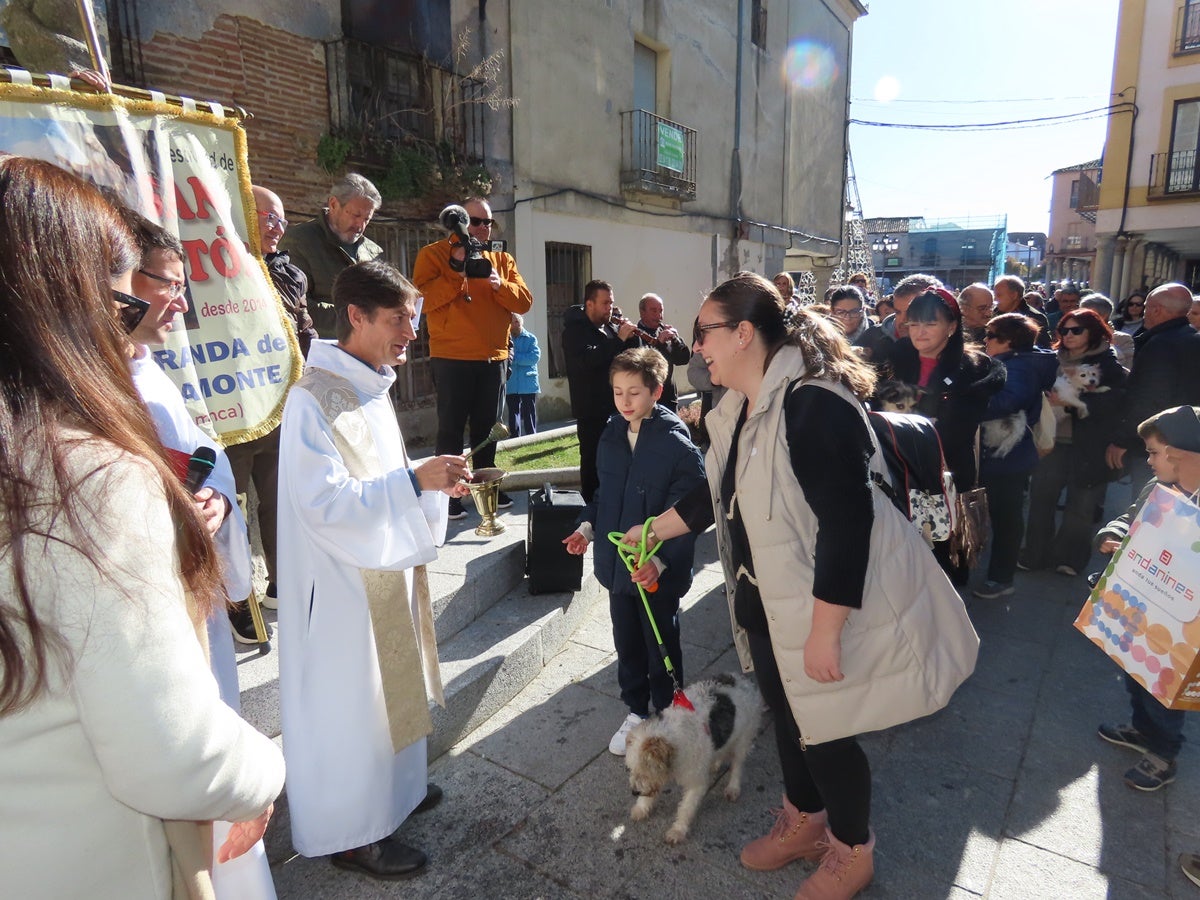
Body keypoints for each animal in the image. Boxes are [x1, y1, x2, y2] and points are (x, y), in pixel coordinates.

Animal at [619, 676, 758, 844]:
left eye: (647, 769)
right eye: (630, 768)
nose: (634, 792)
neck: (673, 737)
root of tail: (742, 680)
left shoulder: (696, 782)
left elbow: (686, 808)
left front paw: (677, 831)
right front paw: (640, 809)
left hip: (743, 740)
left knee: (737, 765)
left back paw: (733, 788)